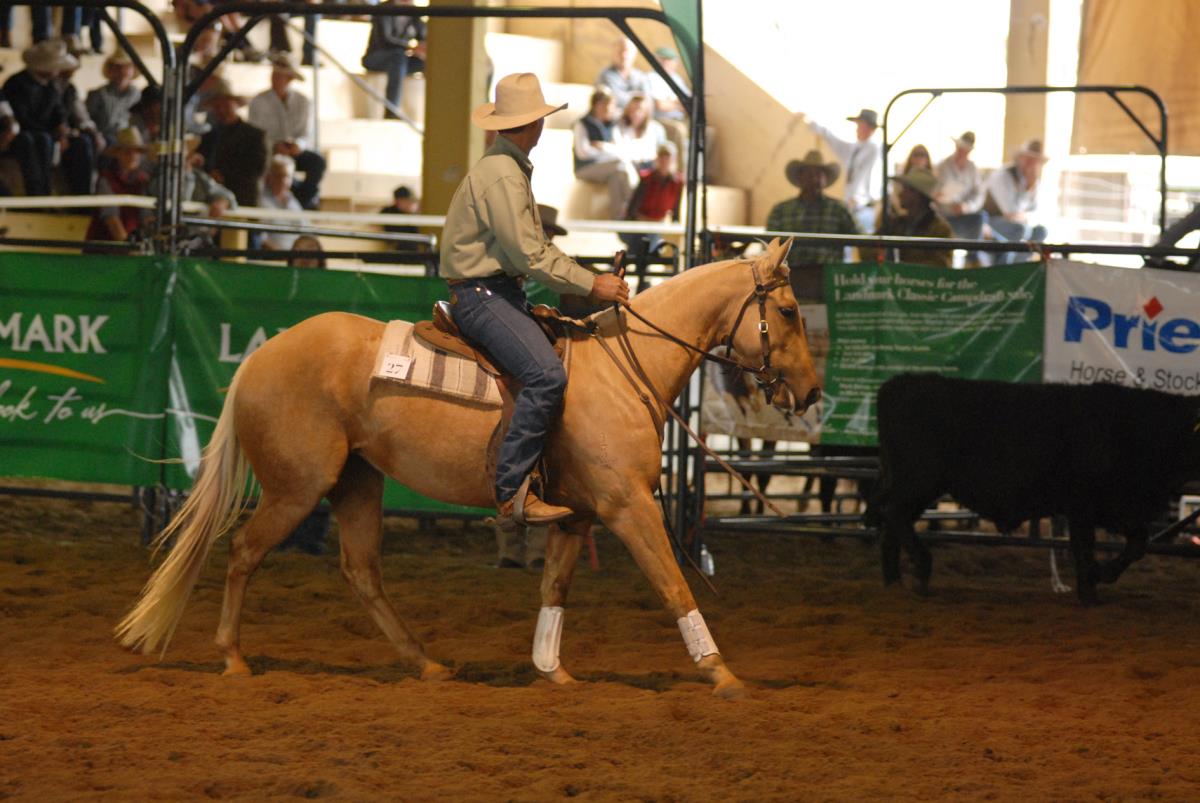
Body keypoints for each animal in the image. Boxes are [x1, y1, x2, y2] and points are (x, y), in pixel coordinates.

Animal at [116, 237, 820, 698]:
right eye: (788, 311)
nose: (811, 393)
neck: (625, 368)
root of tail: (261, 358)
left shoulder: (577, 516)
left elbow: (554, 588)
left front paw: (552, 670)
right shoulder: (629, 506)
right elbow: (674, 584)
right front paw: (721, 673)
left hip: (356, 482)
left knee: (361, 571)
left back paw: (426, 664)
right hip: (297, 488)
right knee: (242, 551)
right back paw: (233, 658)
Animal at [868, 374, 1200, 605]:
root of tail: (897, 383)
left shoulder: (1114, 507)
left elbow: (1138, 542)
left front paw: (1098, 578)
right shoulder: (1083, 504)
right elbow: (1085, 547)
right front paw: (1091, 589)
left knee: (890, 524)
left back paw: (893, 584)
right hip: (920, 479)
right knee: (893, 512)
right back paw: (921, 569)